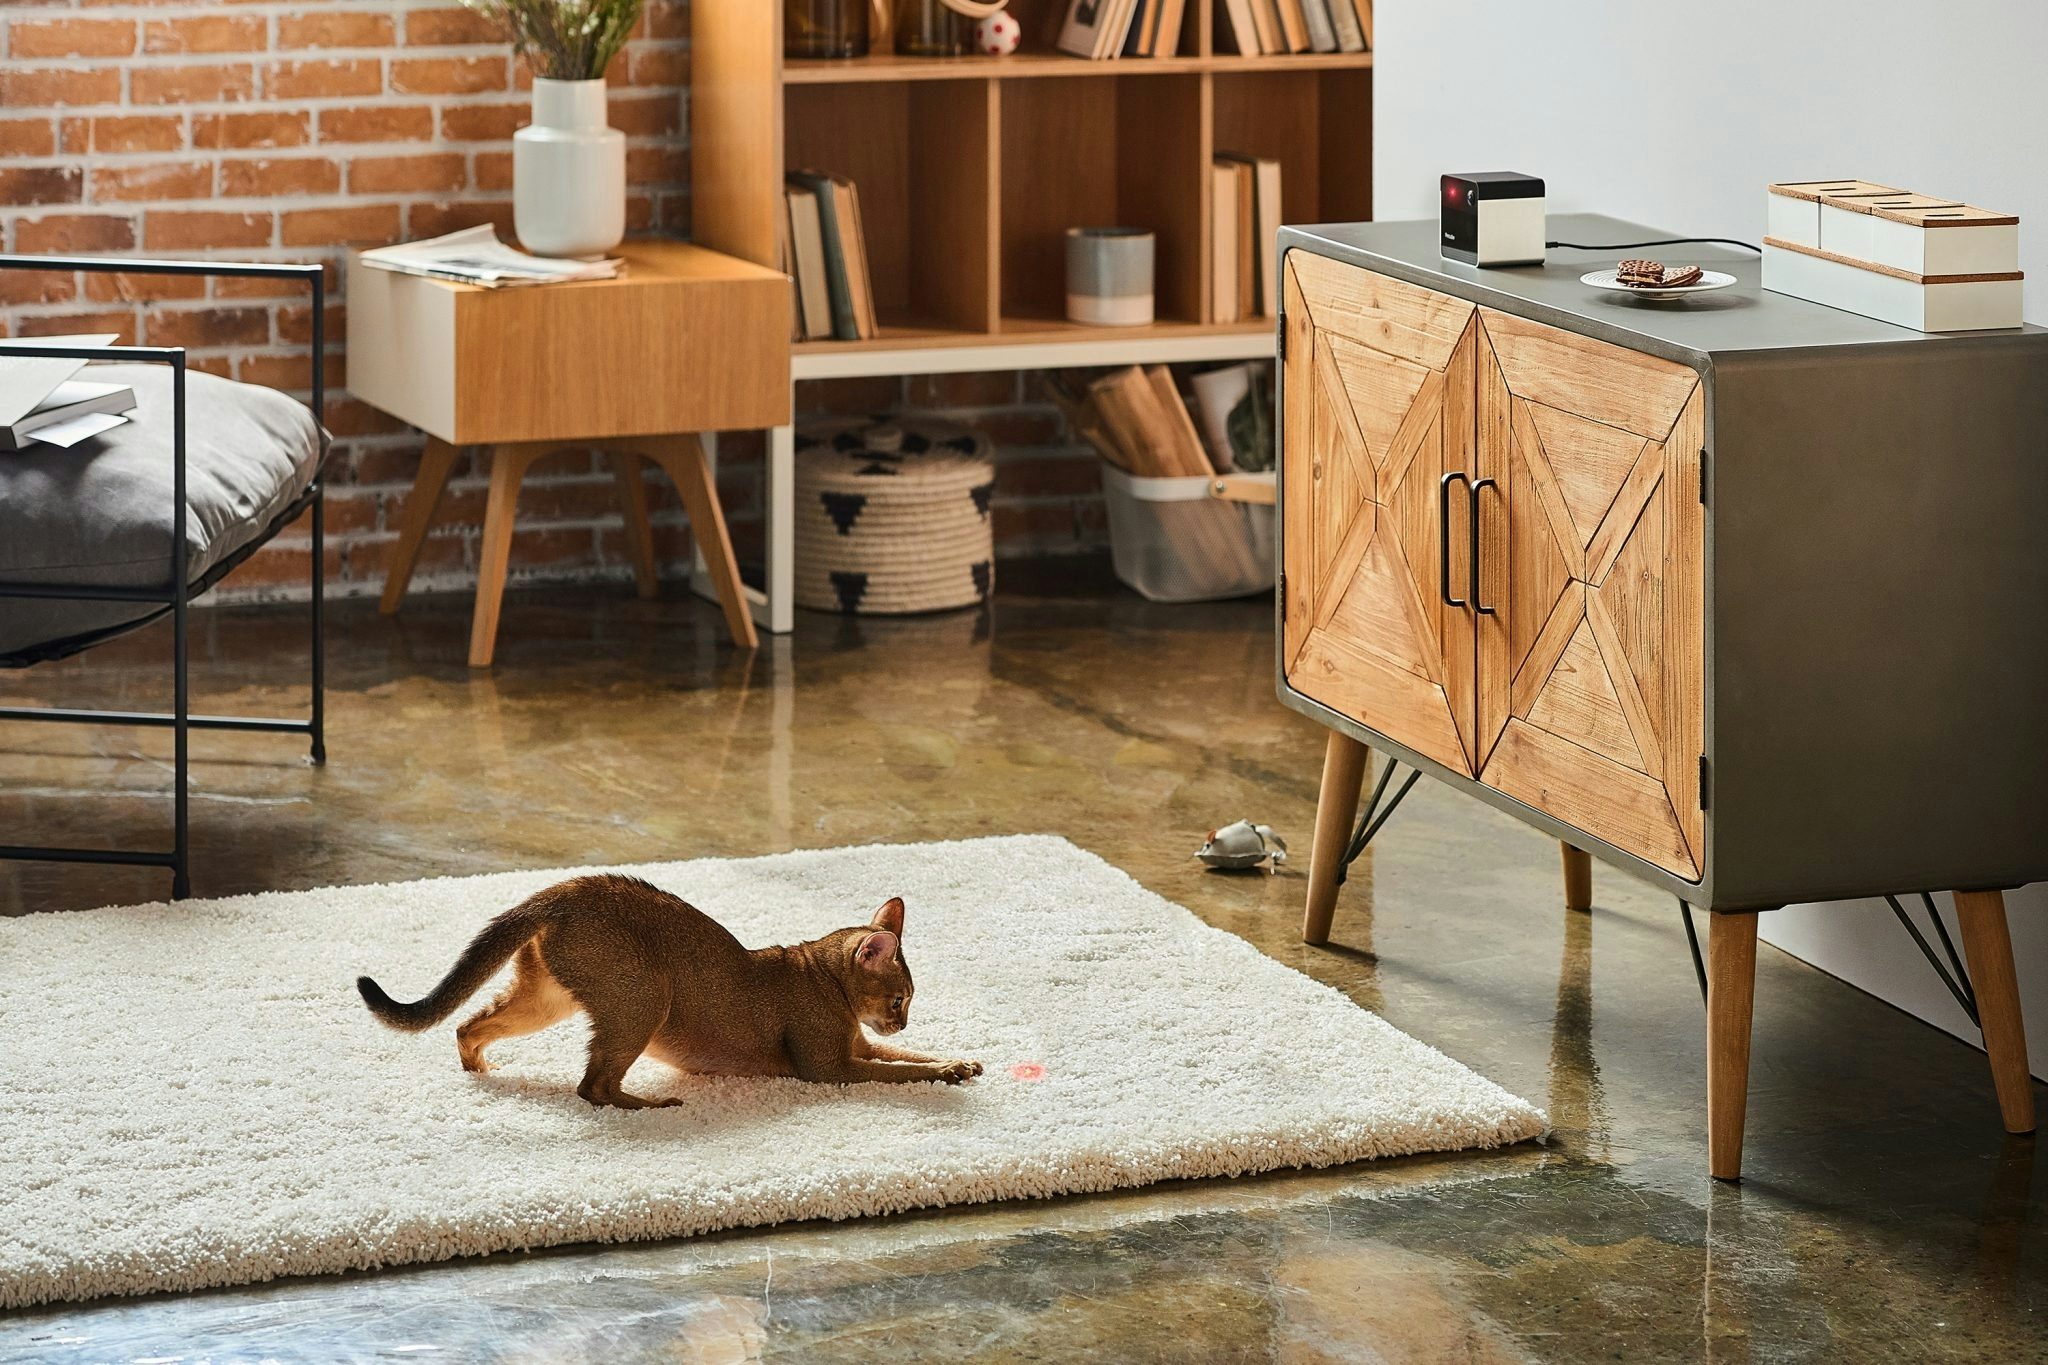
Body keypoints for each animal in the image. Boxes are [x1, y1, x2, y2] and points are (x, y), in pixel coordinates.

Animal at [358, 875, 983, 1113]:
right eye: (900, 1000)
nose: (901, 1020)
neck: (822, 978)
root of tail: (561, 889)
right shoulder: (828, 1067)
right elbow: (898, 1071)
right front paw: (942, 1072)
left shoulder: (860, 1046)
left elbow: (910, 1057)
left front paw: (959, 1062)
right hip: (645, 998)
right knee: (593, 1087)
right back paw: (651, 1106)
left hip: (548, 1000)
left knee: (467, 1025)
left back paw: (479, 1072)